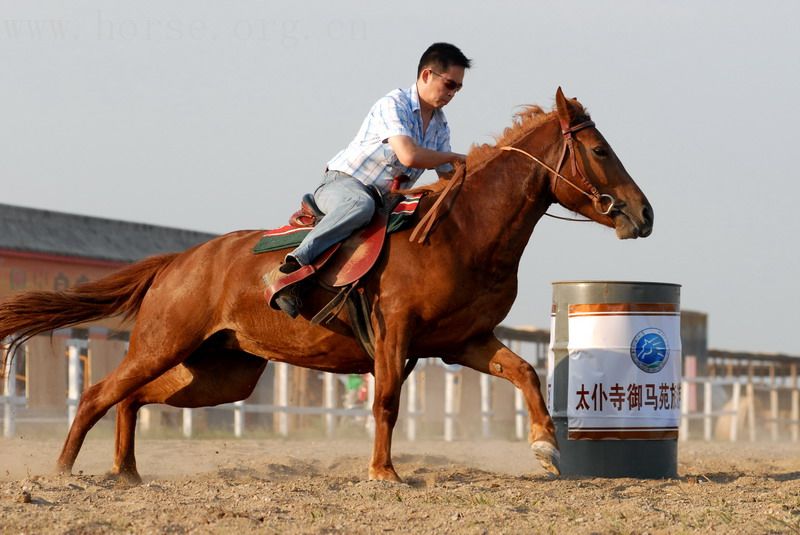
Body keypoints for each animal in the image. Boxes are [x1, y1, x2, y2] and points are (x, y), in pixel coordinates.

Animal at [0, 90, 652, 484]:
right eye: (599, 149)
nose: (643, 214)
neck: (459, 233)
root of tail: (179, 261)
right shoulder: (395, 336)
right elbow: (386, 402)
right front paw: (384, 474)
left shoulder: (462, 342)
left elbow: (524, 373)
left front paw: (547, 447)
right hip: (165, 342)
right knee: (99, 393)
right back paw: (63, 471)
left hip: (221, 372)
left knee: (132, 398)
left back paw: (129, 474)